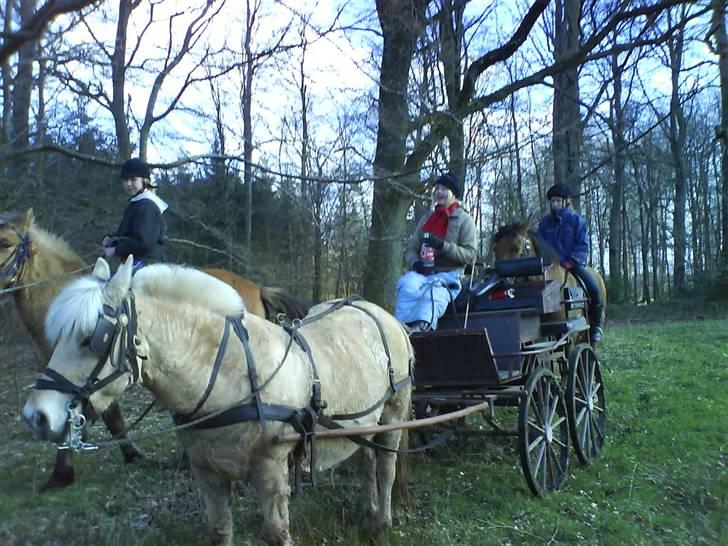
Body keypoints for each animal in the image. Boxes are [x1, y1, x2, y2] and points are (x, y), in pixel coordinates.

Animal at [24, 258, 416, 544]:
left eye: (91, 338)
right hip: (362, 420)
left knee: (385, 466)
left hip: (394, 412)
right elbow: (220, 530)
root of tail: (381, 313)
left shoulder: (271, 469)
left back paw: (383, 522)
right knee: (366, 460)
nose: (36, 416)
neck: (231, 376)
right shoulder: (206, 471)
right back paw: (368, 514)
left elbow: (277, 533)